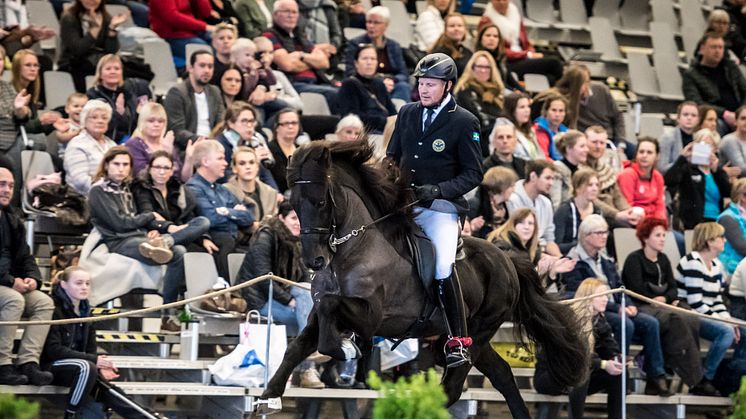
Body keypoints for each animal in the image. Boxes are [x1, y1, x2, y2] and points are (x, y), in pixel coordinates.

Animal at [256, 140, 588, 416]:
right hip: (478, 338)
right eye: (294, 205)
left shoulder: (370, 316)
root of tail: (507, 260)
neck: (355, 247)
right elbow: (298, 345)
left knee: (453, 386)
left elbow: (330, 313)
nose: (314, 261)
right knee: (503, 375)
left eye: (322, 202)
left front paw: (343, 348)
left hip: (478, 332)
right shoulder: (319, 312)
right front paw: (268, 396)